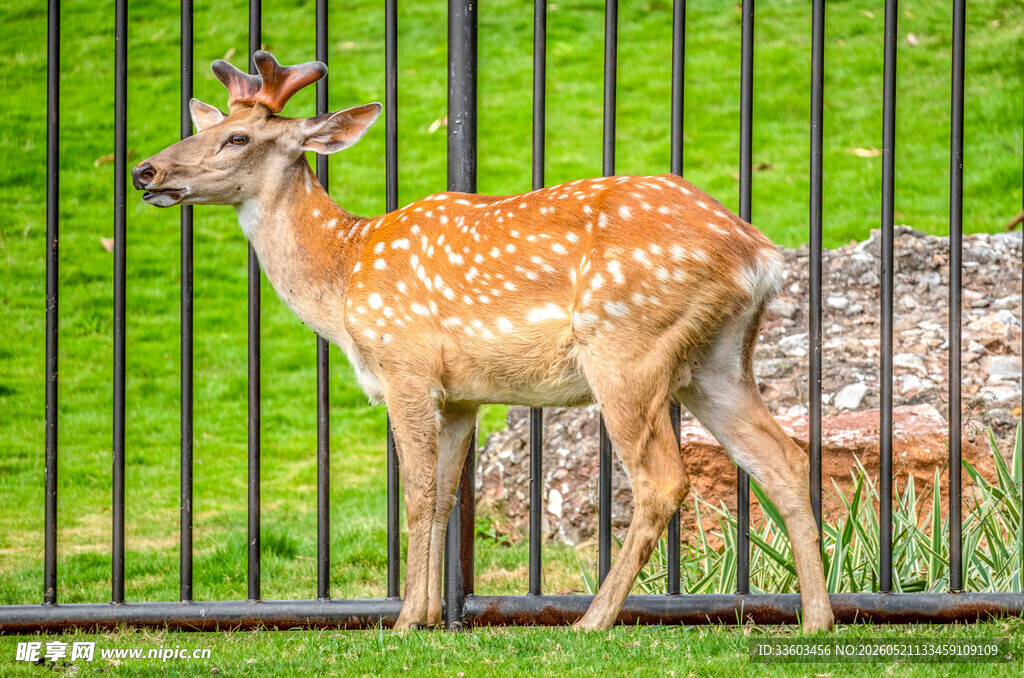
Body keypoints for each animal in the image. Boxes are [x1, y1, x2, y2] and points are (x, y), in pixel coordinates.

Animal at [133, 51, 834, 633]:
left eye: (237, 137)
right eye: (206, 125)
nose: (146, 170)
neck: (343, 274)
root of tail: (759, 254)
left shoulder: (406, 367)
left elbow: (416, 495)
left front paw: (402, 624)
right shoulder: (462, 396)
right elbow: (444, 496)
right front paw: (425, 615)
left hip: (626, 345)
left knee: (663, 479)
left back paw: (593, 621)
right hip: (716, 359)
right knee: (782, 459)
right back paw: (816, 620)